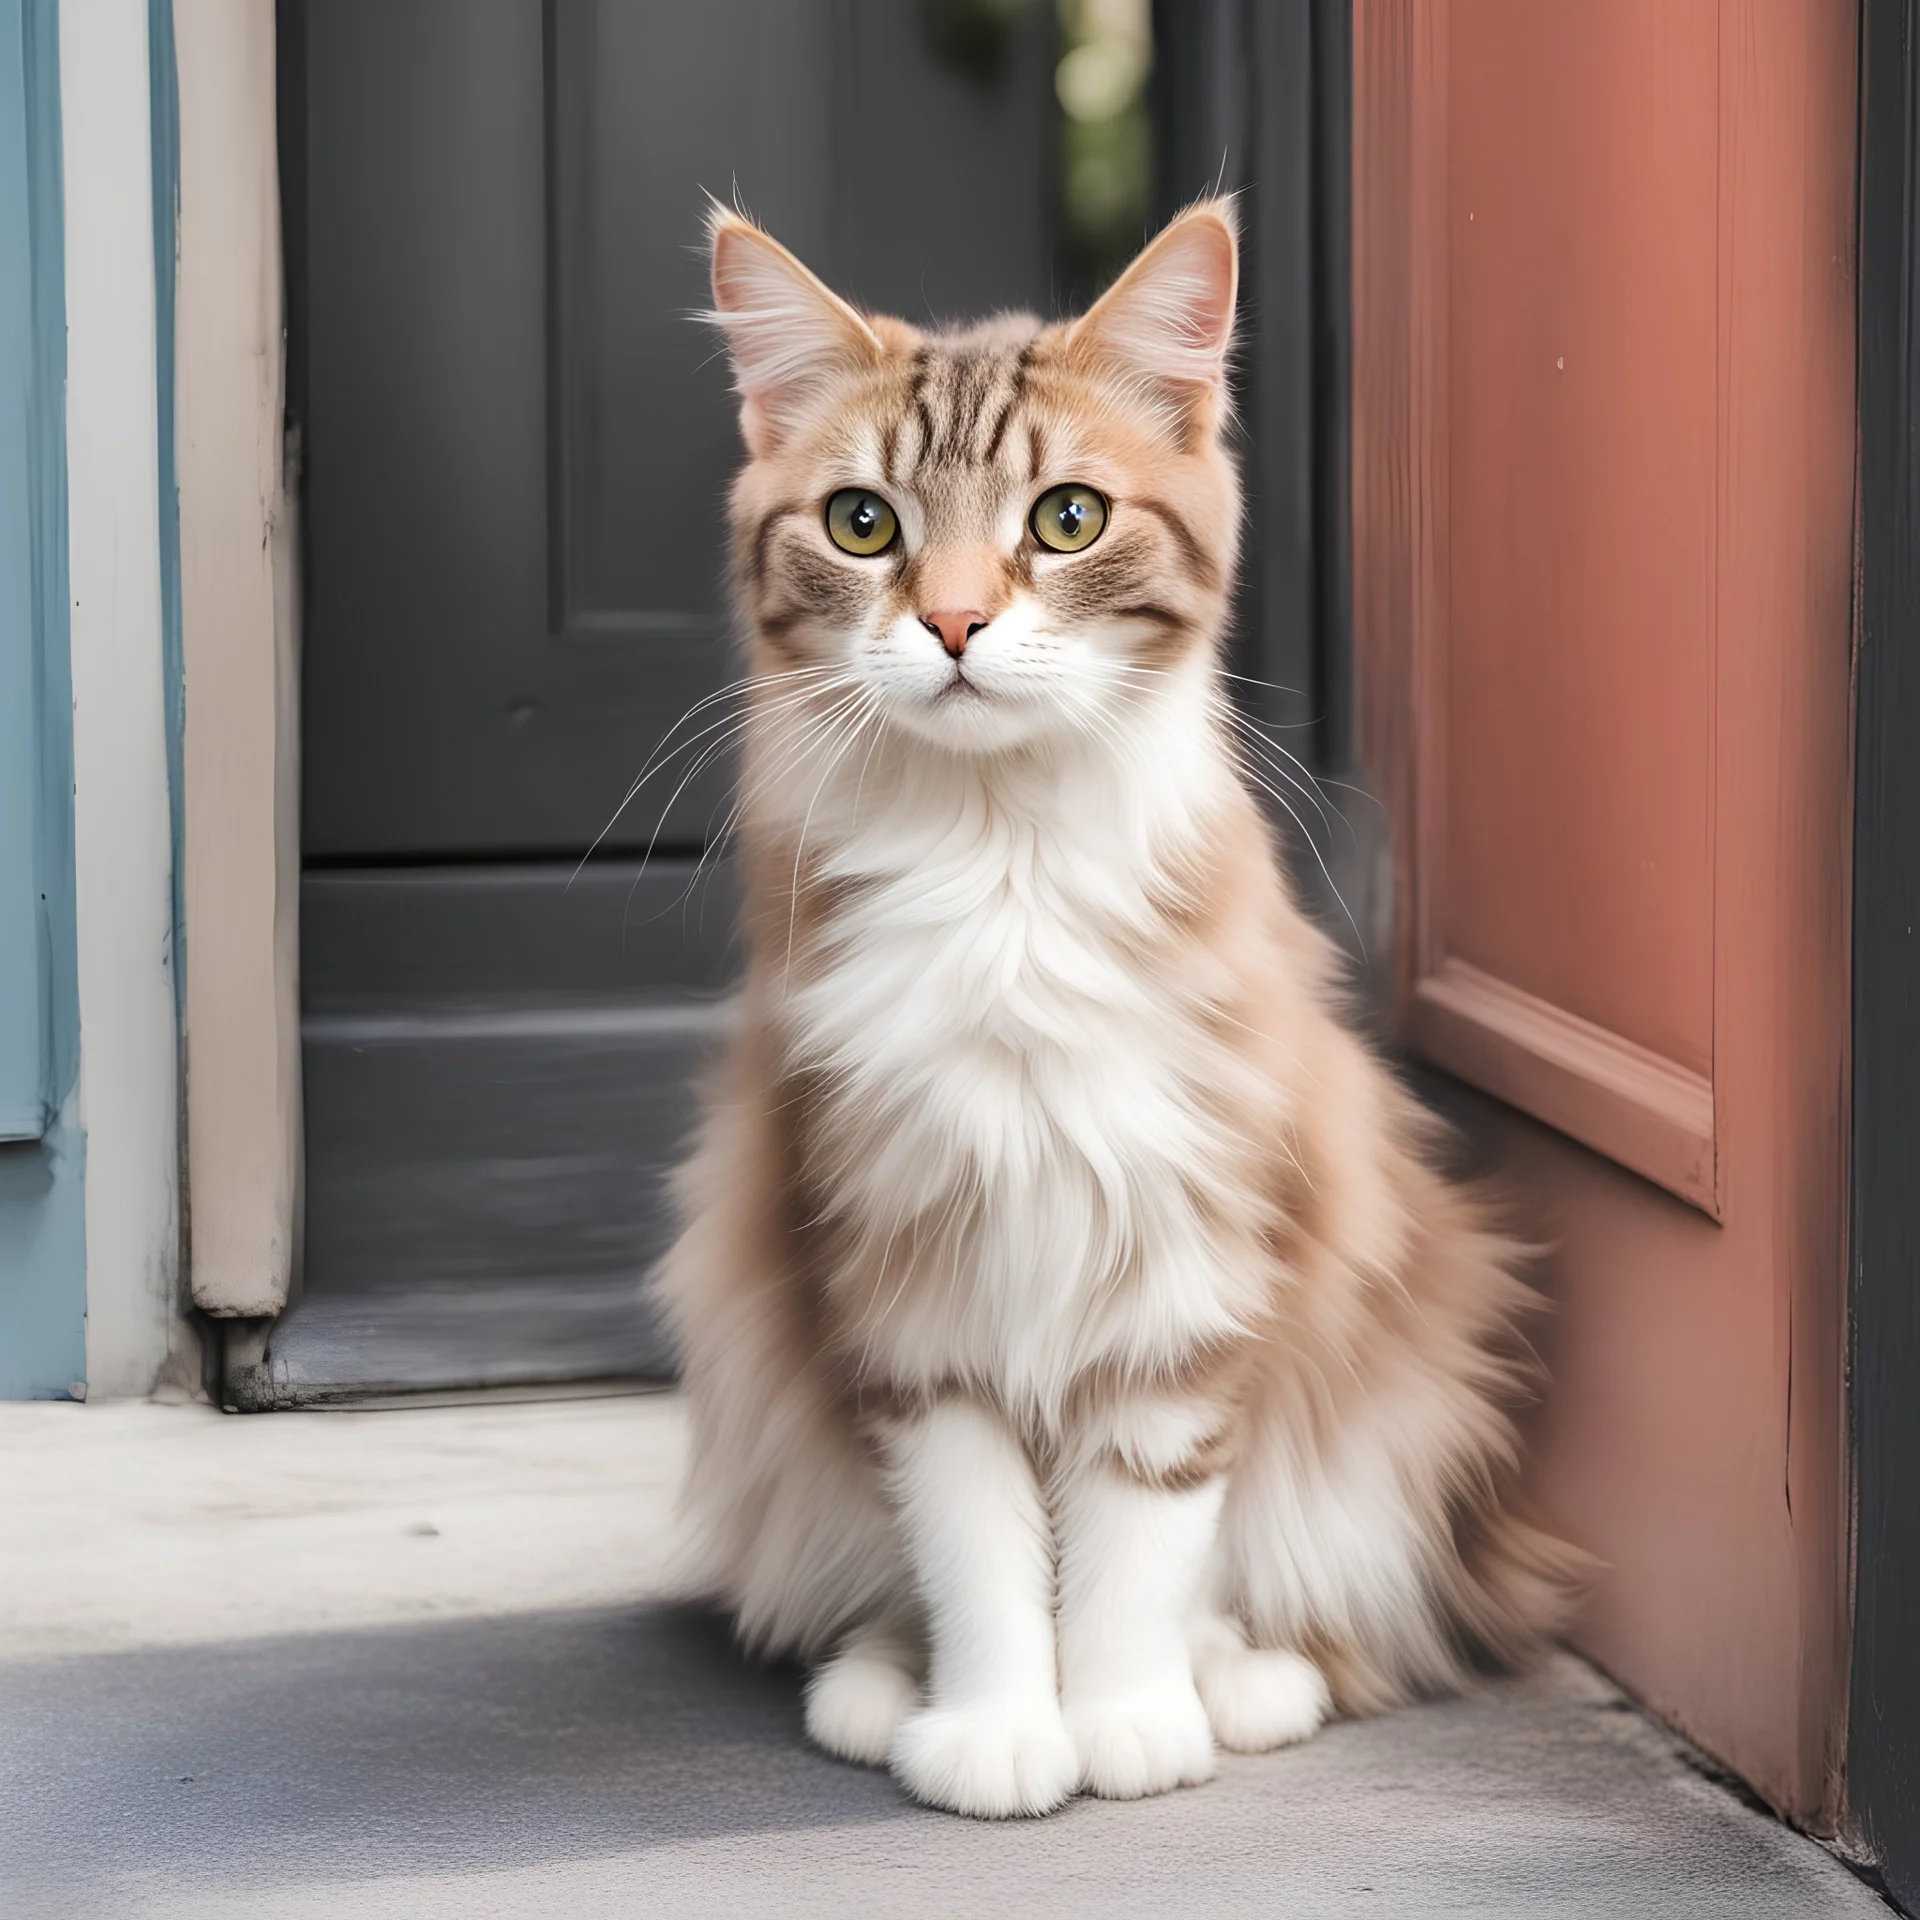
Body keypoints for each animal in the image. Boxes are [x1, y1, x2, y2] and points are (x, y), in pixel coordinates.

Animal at [652, 194, 1582, 1812]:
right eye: (864, 524)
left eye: (1067, 519)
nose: (957, 623)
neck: (1004, 872)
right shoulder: (905, 1278)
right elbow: (974, 1543)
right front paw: (994, 1729)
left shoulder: (1187, 1266)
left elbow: (1140, 1538)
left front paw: (1131, 1719)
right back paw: (877, 1684)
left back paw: (1242, 1682)